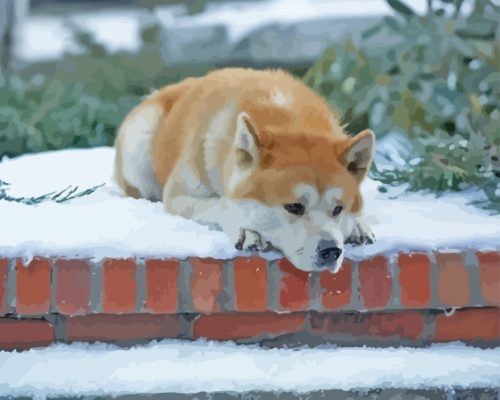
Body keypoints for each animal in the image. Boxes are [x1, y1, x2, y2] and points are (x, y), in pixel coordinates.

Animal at [114, 68, 376, 272]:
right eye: (294, 207)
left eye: (338, 209)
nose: (331, 251)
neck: (286, 118)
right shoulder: (179, 197)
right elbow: (221, 205)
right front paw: (247, 231)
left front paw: (358, 225)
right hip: (139, 143)